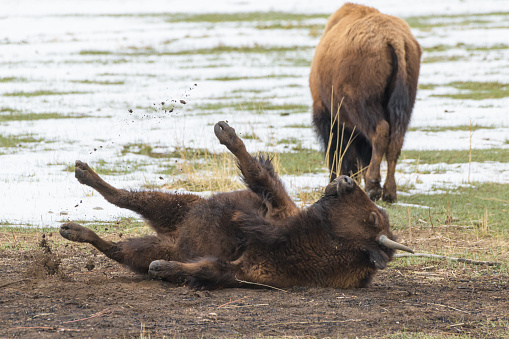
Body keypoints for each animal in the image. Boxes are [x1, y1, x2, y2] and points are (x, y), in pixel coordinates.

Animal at [59, 121, 410, 290]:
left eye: (374, 217)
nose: (347, 181)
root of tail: (172, 236)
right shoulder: (276, 207)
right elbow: (258, 175)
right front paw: (226, 133)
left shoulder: (245, 271)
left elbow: (208, 269)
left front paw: (162, 268)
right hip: (180, 206)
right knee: (126, 198)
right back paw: (82, 180)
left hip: (156, 237)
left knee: (119, 245)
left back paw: (73, 229)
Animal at [310, 2, 420, 203]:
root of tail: (393, 39)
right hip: (404, 105)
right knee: (395, 141)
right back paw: (389, 192)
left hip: (362, 106)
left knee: (380, 132)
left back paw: (373, 186)